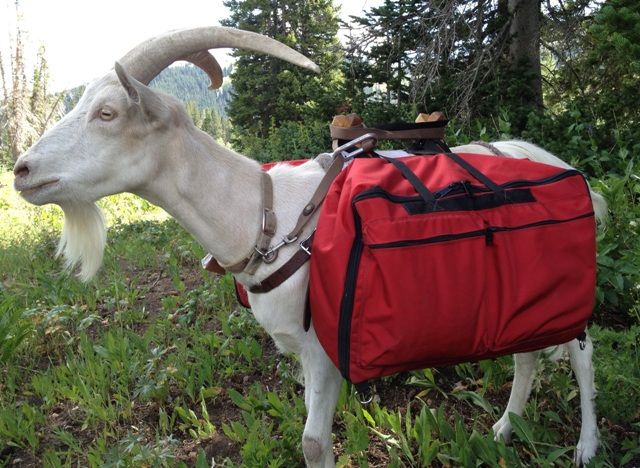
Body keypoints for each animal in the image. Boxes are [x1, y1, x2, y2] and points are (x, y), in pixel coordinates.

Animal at [15, 26, 604, 468]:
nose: (22, 170)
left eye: (107, 113)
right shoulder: (302, 355)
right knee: (527, 354)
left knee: (582, 353)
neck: (266, 217)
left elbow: (313, 443)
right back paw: (506, 427)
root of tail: (561, 166)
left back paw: (586, 446)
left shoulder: (324, 352)